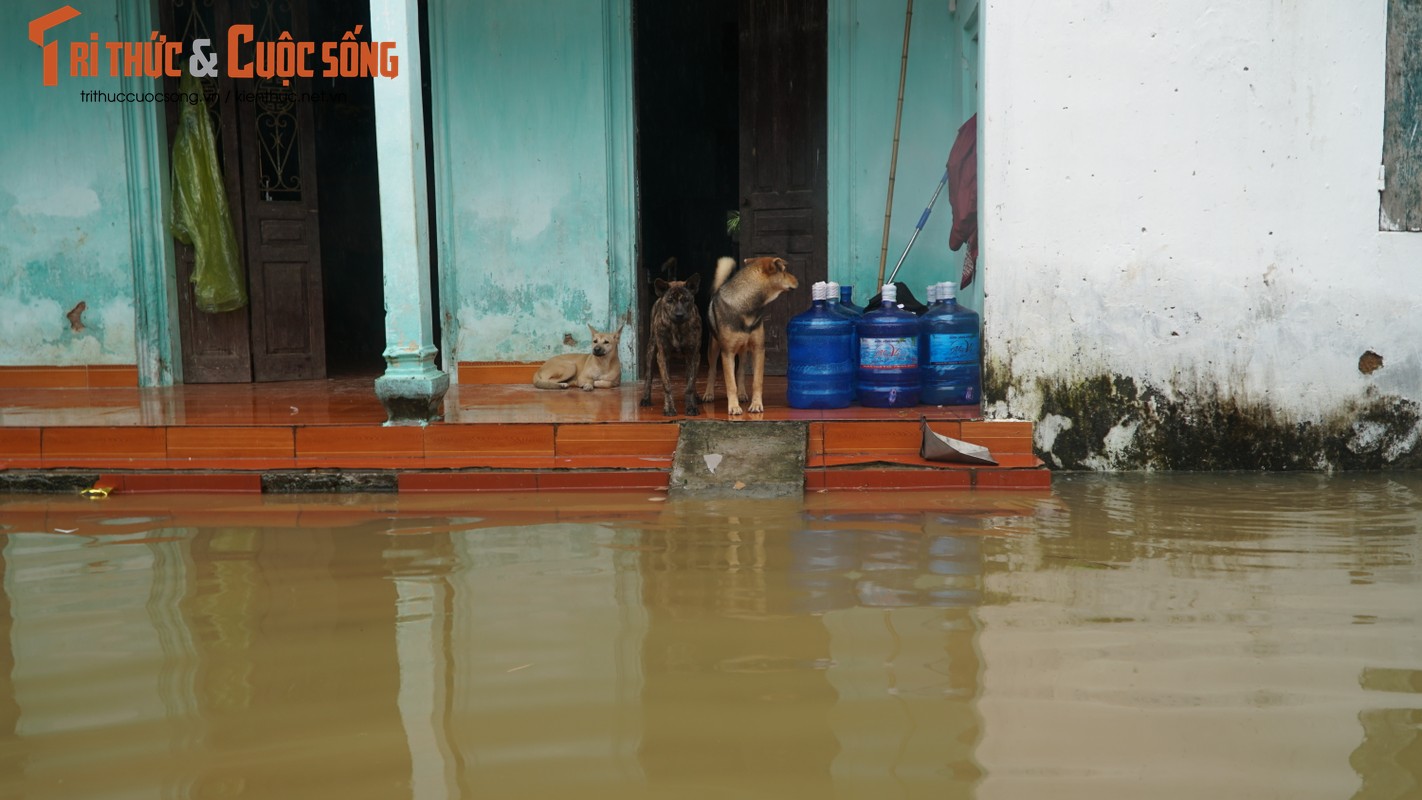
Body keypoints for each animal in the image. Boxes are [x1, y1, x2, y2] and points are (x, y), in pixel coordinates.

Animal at [642, 260, 702, 417]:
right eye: (669, 300)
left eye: (686, 300)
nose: (679, 314)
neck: (677, 327)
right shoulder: (662, 355)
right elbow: (667, 384)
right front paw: (669, 408)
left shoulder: (694, 355)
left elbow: (690, 384)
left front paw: (691, 406)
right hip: (651, 350)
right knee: (649, 377)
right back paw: (645, 398)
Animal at [702, 257, 802, 417]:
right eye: (784, 270)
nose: (798, 280)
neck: (747, 306)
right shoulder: (727, 353)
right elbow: (730, 384)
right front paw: (733, 407)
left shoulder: (758, 349)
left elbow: (757, 381)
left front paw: (756, 405)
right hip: (713, 348)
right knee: (712, 371)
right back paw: (709, 394)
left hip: (744, 352)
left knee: (741, 371)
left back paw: (742, 394)